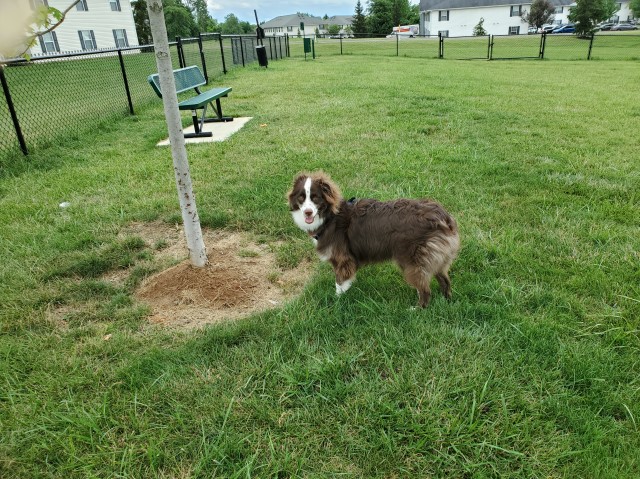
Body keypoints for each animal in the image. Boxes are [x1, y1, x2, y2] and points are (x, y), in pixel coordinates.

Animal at [288, 172, 460, 308]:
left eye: (315, 198)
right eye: (301, 198)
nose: (307, 212)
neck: (330, 217)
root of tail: (443, 217)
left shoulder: (343, 259)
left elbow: (339, 282)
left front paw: (336, 301)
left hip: (412, 260)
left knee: (425, 289)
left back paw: (417, 309)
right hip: (435, 257)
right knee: (444, 280)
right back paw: (446, 301)